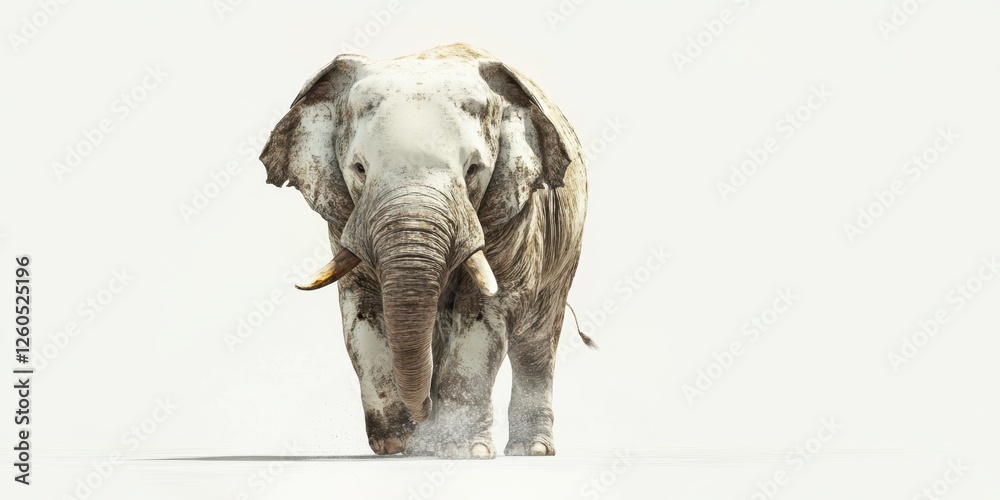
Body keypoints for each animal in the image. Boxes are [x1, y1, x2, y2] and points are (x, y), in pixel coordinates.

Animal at [259, 43, 590, 459]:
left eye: (473, 170)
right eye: (359, 168)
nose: (424, 415)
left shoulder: (516, 212)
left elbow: (483, 313)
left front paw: (460, 449)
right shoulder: (348, 220)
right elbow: (365, 313)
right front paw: (399, 445)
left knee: (536, 343)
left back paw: (530, 450)